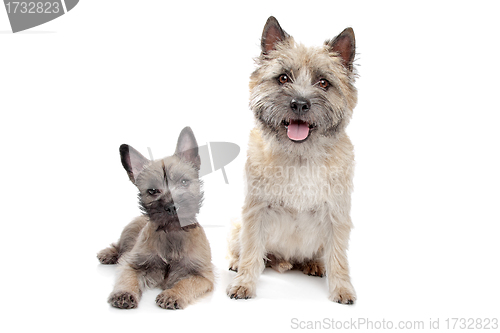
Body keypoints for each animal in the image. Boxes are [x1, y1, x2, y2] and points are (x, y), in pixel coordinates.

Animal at [97, 127, 213, 308]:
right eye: (152, 190)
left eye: (184, 182)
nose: (172, 206)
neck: (171, 234)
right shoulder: (131, 263)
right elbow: (127, 278)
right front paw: (124, 293)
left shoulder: (203, 276)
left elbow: (186, 283)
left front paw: (172, 294)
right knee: (118, 245)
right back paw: (108, 253)